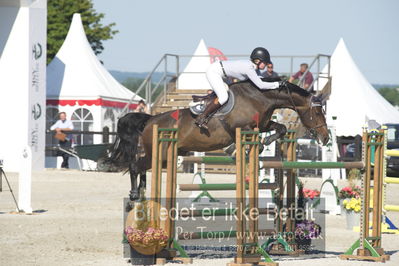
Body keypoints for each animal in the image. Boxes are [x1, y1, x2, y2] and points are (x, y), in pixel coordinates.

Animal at [109, 82, 332, 201]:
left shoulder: (263, 124)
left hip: (163, 155)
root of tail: (150, 120)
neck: (261, 97)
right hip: (161, 153)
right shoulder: (241, 128)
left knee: (141, 168)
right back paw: (134, 194)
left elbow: (281, 128)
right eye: (317, 112)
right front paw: (235, 150)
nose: (326, 137)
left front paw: (265, 142)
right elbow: (252, 141)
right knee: (135, 166)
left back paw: (142, 193)